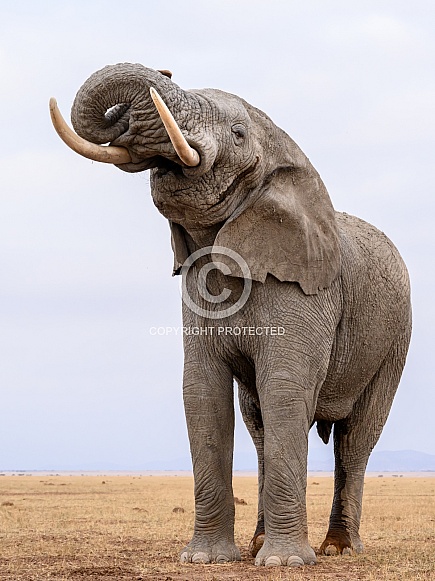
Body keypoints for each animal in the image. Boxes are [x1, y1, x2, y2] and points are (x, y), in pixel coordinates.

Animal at [50, 64, 412, 568]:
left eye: (238, 135)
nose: (163, 72)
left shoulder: (306, 294)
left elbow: (285, 387)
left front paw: (284, 564)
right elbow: (202, 393)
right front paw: (204, 559)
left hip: (396, 339)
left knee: (356, 438)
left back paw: (337, 549)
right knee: (259, 426)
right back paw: (260, 542)